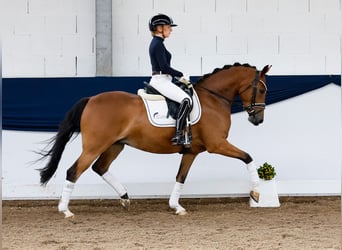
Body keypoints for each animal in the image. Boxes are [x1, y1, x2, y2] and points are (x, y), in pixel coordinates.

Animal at [38, 62, 272, 217]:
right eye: (261, 89)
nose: (258, 119)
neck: (213, 99)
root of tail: (91, 99)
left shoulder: (191, 151)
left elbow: (181, 177)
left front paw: (176, 206)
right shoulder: (217, 144)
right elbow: (248, 157)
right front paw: (256, 192)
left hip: (115, 145)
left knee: (100, 168)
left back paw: (125, 197)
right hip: (95, 146)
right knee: (74, 171)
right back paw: (65, 210)